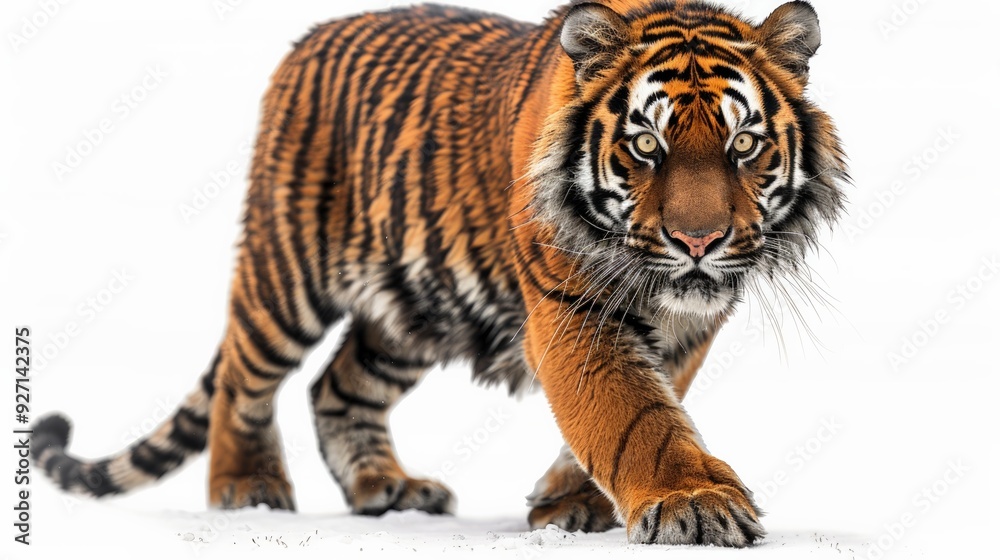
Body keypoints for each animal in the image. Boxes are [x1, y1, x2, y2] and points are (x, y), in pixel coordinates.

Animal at [32, 0, 847, 547]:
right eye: (647, 145)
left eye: (744, 145)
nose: (699, 240)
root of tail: (304, 41)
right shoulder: (572, 309)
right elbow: (631, 413)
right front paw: (693, 503)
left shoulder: (687, 328)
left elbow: (648, 403)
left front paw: (570, 503)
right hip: (287, 273)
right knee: (243, 378)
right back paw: (248, 488)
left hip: (409, 311)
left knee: (339, 386)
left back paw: (385, 488)